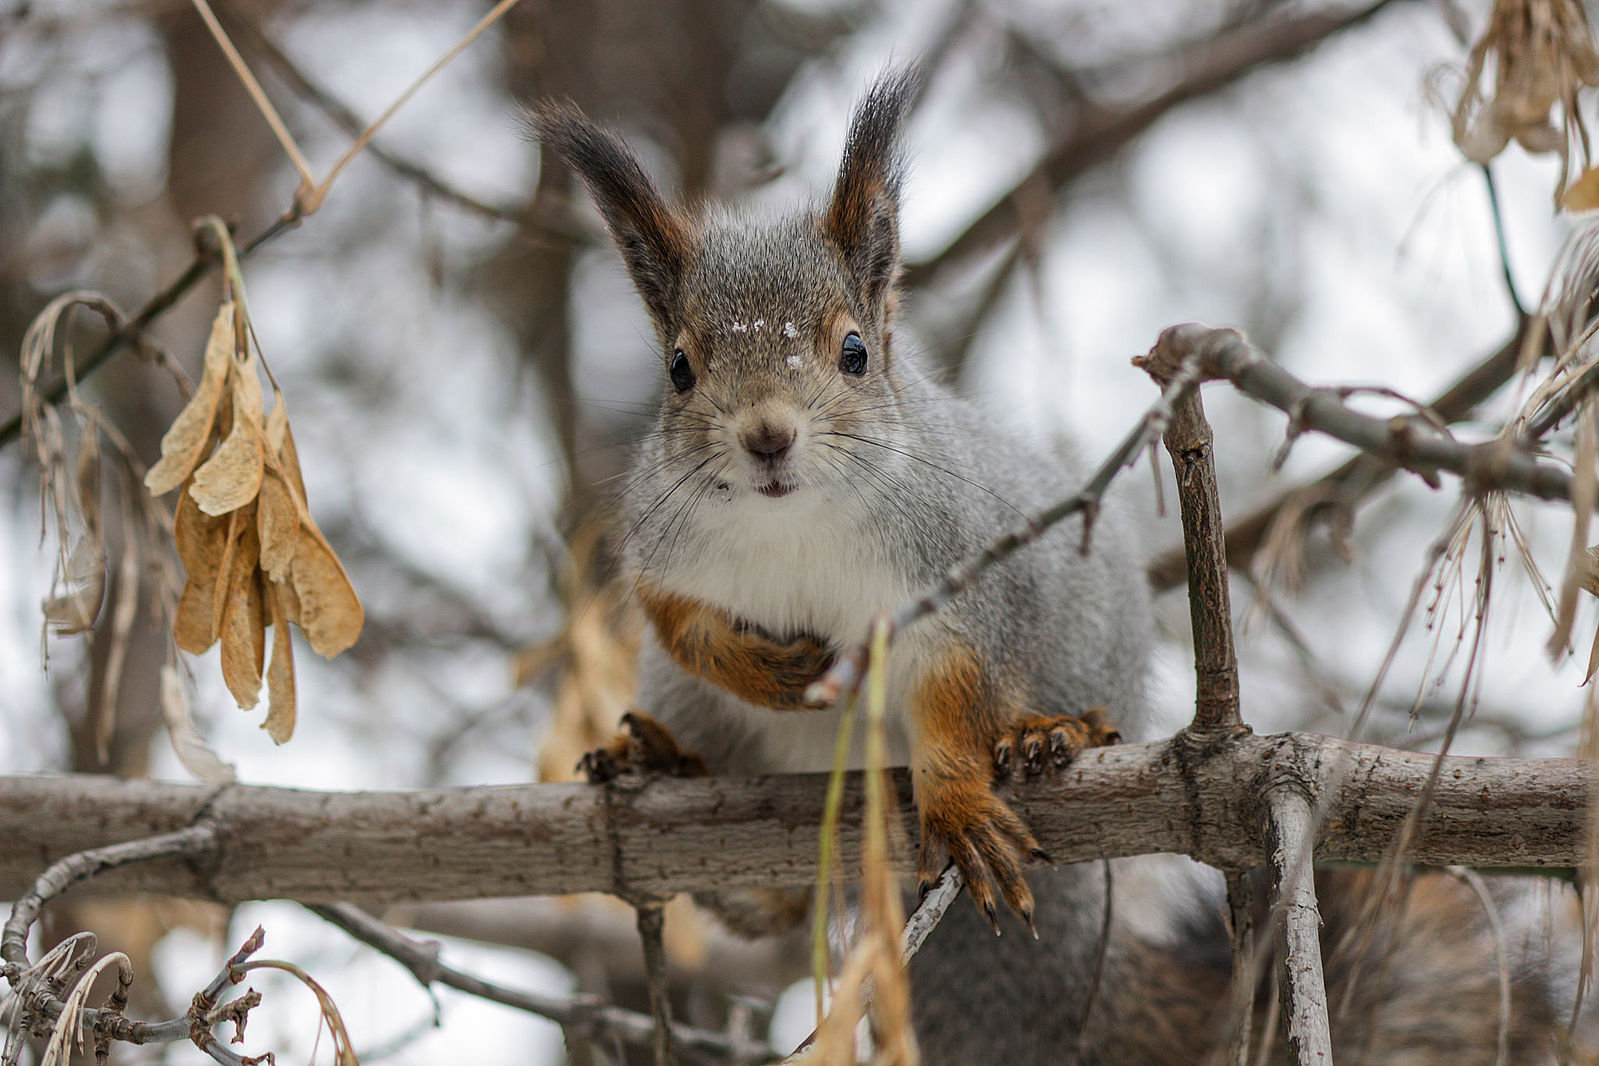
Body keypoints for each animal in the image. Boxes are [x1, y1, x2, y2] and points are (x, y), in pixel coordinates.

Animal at [534, 75, 1573, 1066]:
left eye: (854, 351)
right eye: (678, 368)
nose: (765, 437)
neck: (790, 523)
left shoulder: (956, 575)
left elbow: (953, 685)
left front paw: (959, 799)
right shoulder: (664, 547)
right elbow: (679, 623)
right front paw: (767, 668)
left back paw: (1049, 733)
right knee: (777, 890)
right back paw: (662, 762)